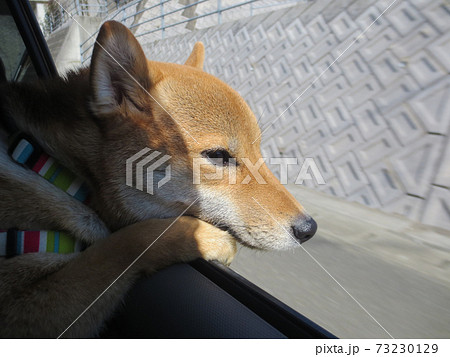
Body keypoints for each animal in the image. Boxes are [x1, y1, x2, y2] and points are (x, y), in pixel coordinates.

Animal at [0, 20, 316, 336]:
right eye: (218, 155)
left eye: (259, 149)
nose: (308, 229)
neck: (67, 172)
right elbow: (129, 242)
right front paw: (206, 238)